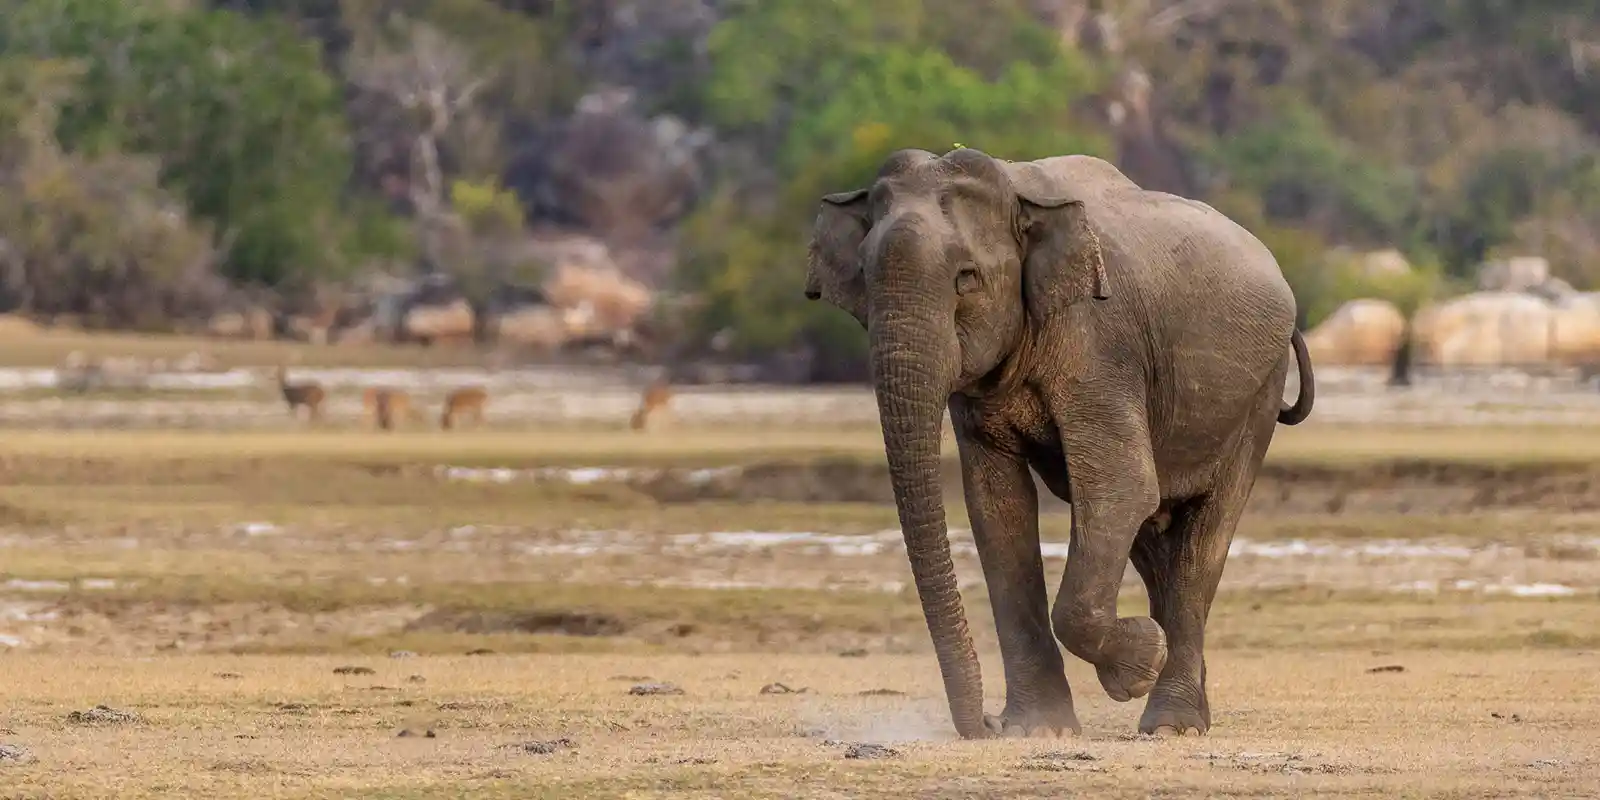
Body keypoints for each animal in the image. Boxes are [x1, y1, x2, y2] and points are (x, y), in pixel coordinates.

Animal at [803, 148, 1314, 740]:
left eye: (966, 279)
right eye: (863, 276)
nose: (984, 725)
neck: (1018, 194)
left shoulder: (1099, 343)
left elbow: (1120, 486)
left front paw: (1135, 666)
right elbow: (998, 508)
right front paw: (1037, 729)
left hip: (1260, 394)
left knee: (1202, 533)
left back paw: (1171, 724)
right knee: (1151, 532)